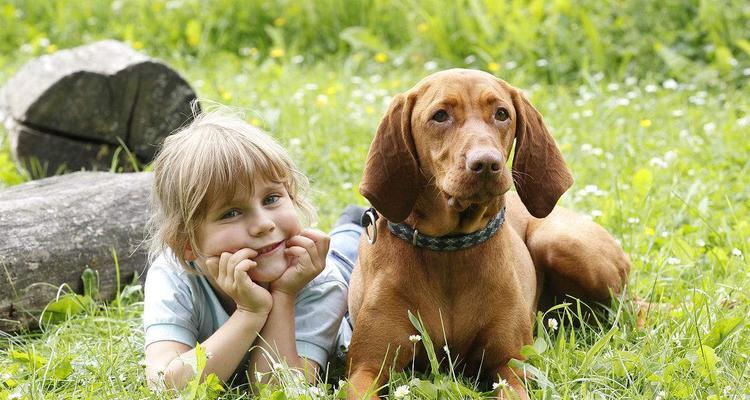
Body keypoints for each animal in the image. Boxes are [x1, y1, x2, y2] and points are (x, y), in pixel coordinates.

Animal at [350, 69, 632, 396]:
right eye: (440, 115)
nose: (486, 163)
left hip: (562, 244)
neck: (449, 250)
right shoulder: (366, 368)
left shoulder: (510, 366)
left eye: (501, 114)